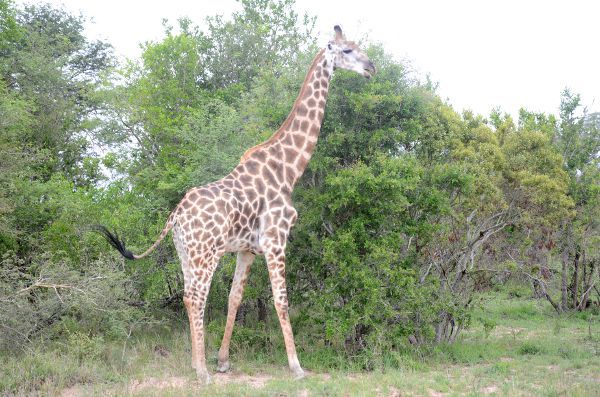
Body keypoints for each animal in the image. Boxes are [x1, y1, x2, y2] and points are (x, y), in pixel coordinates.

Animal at [98, 25, 376, 384]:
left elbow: (235, 298)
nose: (371, 68)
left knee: (189, 297)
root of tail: (175, 216)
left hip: (185, 254)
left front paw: (223, 360)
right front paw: (296, 366)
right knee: (195, 297)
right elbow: (281, 301)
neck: (289, 169)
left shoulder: (248, 250)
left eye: (357, 46)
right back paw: (201, 372)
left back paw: (198, 364)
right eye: (347, 51)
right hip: (205, 254)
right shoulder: (276, 241)